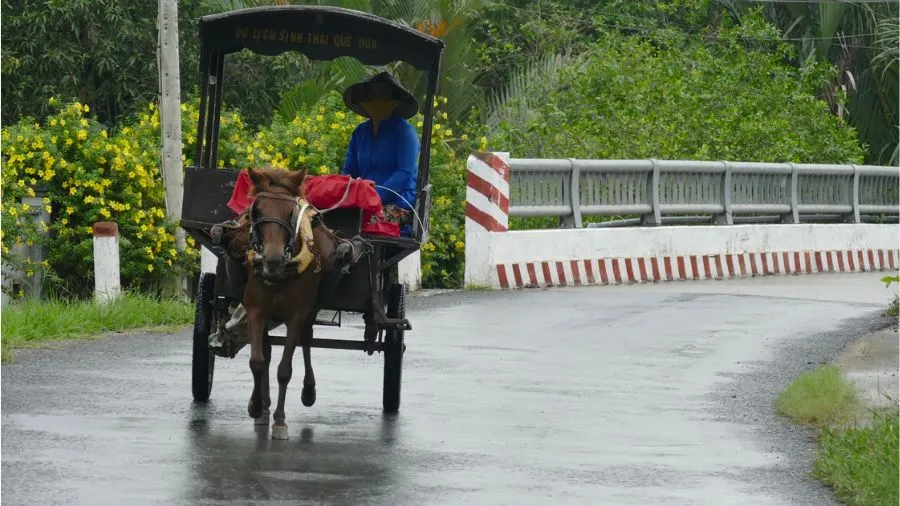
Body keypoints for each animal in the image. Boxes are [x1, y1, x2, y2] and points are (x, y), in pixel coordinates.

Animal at [237, 166, 346, 438]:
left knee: (306, 340)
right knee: (267, 350)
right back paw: (264, 406)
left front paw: (280, 421)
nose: (273, 259)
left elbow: (284, 370)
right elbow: (257, 361)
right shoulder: (255, 311)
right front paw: (256, 406)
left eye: (291, 212)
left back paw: (308, 391)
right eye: (257, 210)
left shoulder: (297, 315)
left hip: (310, 311)